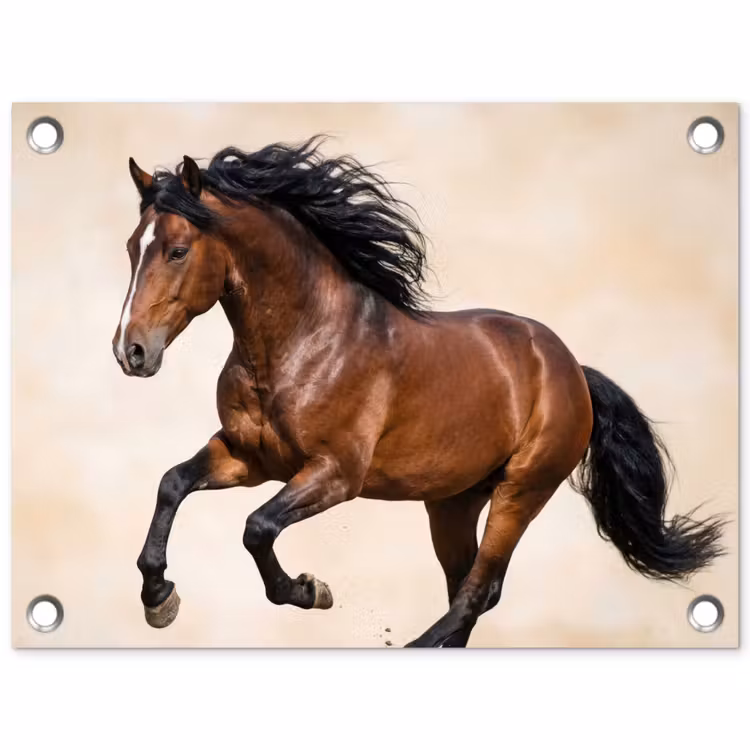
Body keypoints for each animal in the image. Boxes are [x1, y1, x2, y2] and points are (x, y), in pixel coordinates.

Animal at [113, 136, 725, 647]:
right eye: (131, 247)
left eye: (177, 250)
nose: (130, 351)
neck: (303, 342)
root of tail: (572, 367)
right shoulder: (248, 457)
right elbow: (172, 484)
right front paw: (159, 599)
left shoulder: (336, 474)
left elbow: (257, 528)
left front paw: (311, 590)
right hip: (453, 501)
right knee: (469, 590)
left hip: (523, 490)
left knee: (477, 592)